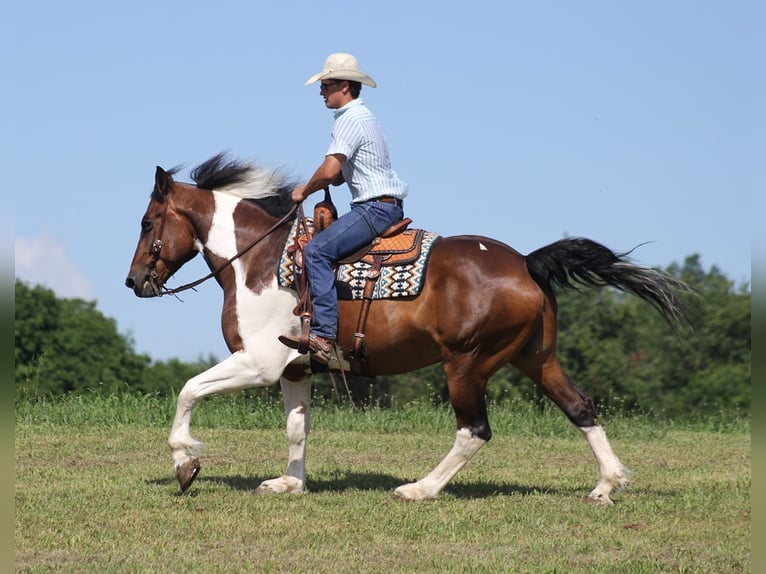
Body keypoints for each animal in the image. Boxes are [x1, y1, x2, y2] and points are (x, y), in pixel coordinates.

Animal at [126, 153, 688, 504]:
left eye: (148, 223)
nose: (133, 282)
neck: (259, 261)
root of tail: (527, 263)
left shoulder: (259, 364)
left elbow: (188, 390)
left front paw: (185, 463)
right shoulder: (294, 369)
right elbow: (297, 428)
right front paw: (290, 484)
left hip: (467, 363)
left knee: (474, 431)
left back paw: (421, 488)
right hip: (535, 357)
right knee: (581, 408)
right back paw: (607, 485)